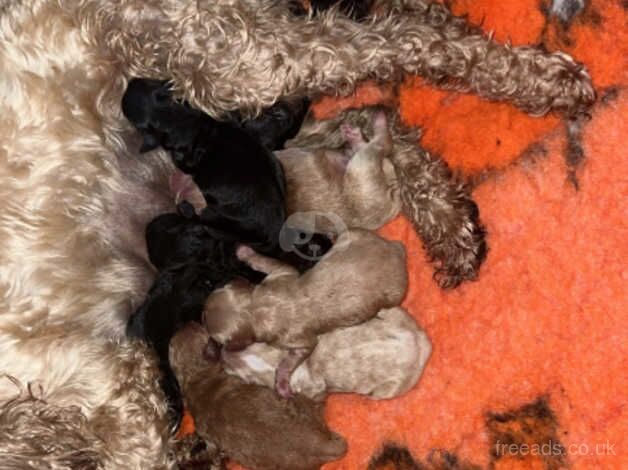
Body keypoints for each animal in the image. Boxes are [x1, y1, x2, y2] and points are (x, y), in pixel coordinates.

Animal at [202, 229, 408, 398]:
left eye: (209, 328)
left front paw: (282, 382)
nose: (201, 315)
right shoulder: (281, 275)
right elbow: (267, 262)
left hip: (394, 294)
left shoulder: (299, 340)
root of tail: (396, 248)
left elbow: (291, 359)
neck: (257, 308)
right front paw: (244, 252)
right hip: (356, 234)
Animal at [221, 306, 432, 402]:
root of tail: (422, 344)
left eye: (250, 380)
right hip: (395, 313)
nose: (222, 353)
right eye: (253, 343)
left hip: (392, 388)